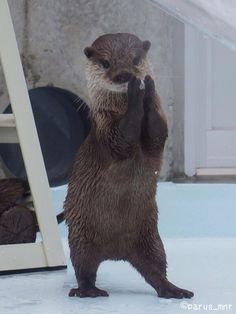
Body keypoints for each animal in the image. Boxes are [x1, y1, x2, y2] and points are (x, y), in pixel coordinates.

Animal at [64, 32, 194, 300]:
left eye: (135, 60)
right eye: (105, 63)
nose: (125, 75)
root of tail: (117, 252)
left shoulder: (157, 133)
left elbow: (156, 131)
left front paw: (148, 88)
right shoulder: (108, 130)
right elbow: (123, 138)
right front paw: (137, 94)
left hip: (151, 239)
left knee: (155, 269)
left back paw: (173, 290)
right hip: (81, 237)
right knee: (84, 268)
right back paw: (88, 291)